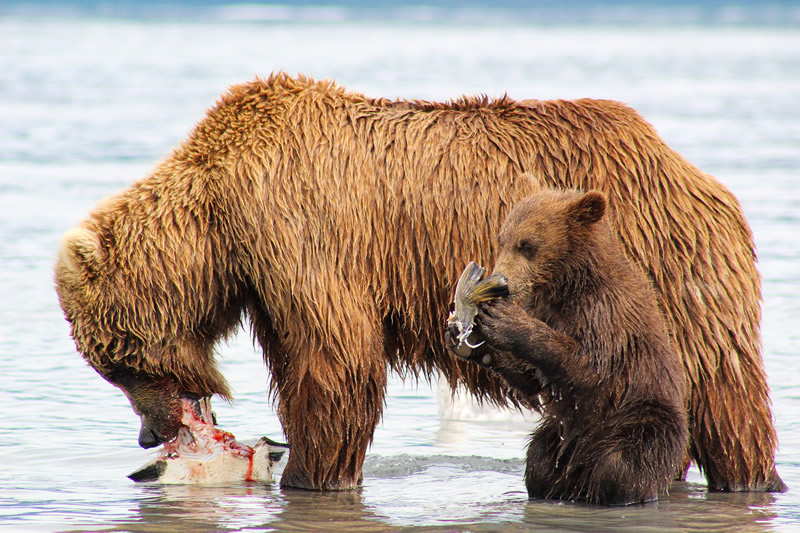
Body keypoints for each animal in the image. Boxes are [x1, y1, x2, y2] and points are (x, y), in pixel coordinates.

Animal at [54, 71, 780, 490]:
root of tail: (690, 170)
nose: (149, 435)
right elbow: (300, 361)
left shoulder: (301, 233)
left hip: (670, 268)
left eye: (117, 363)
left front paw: (311, 473)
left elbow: (334, 363)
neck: (220, 222)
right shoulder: (267, 279)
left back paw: (748, 476)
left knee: (720, 393)